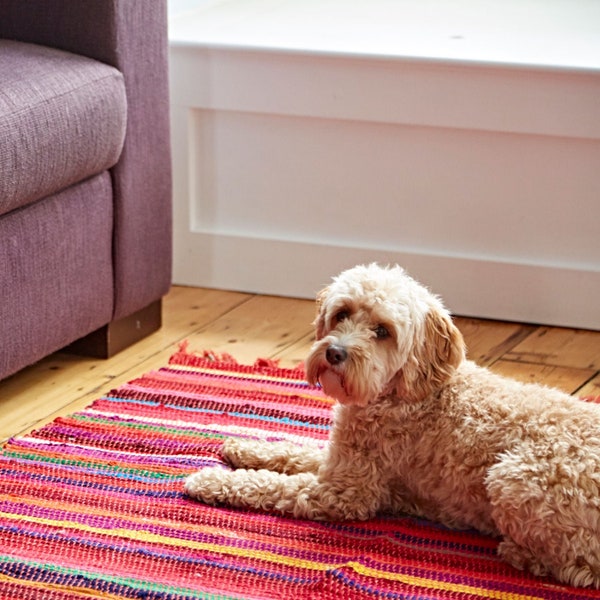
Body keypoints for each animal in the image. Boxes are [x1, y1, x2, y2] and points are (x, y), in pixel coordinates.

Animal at [186, 264, 600, 588]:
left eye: (383, 331)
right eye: (342, 314)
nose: (334, 352)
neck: (399, 393)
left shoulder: (344, 492)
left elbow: (269, 484)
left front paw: (211, 480)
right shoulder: (339, 459)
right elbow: (292, 451)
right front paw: (246, 446)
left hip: (512, 477)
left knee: (578, 568)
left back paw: (521, 553)